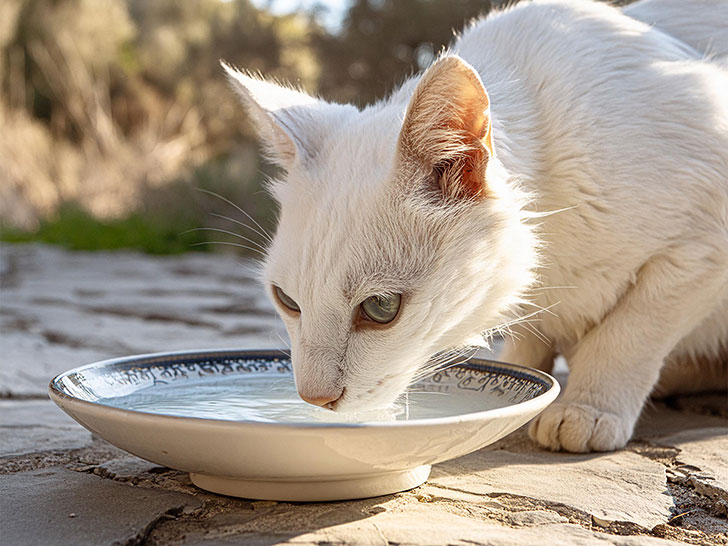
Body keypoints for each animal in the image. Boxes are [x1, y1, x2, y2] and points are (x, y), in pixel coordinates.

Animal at [225, 0, 724, 450]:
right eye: (287, 301)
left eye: (382, 308)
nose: (315, 398)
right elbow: (533, 332)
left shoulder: (702, 250)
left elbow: (628, 332)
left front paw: (587, 406)